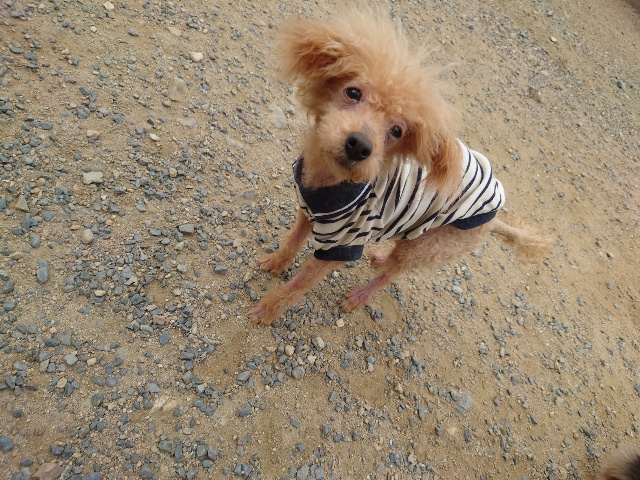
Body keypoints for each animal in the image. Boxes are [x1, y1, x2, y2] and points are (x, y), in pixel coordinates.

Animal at [250, 10, 551, 326]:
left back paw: (360, 297)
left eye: (397, 131)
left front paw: (268, 310)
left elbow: (298, 285)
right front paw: (276, 262)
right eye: (353, 92)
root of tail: (495, 218)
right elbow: (292, 242)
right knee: (392, 263)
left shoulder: (341, 246)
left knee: (392, 274)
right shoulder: (306, 213)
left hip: (428, 246)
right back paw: (381, 259)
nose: (360, 145)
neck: (331, 183)